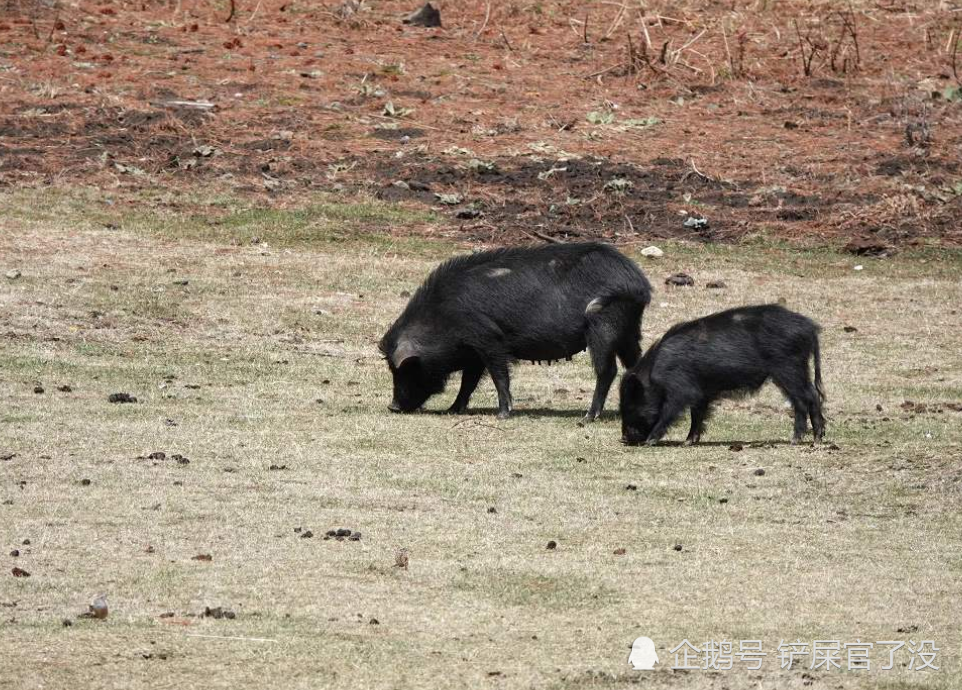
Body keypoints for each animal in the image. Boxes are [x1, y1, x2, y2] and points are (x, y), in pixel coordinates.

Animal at [378, 242, 648, 420]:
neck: (441, 318)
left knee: (607, 370)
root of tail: (640, 282)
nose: (393, 407)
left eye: (406, 368)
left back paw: (588, 417)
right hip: (630, 329)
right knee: (636, 362)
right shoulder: (474, 352)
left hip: (603, 325)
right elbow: (469, 382)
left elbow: (499, 376)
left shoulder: (489, 340)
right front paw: (452, 410)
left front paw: (502, 415)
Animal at [624, 304, 824, 444]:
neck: (656, 373)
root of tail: (810, 328)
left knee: (802, 399)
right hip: (797, 369)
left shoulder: (681, 389)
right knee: (813, 395)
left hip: (788, 368)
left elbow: (671, 411)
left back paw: (795, 440)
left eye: (634, 402)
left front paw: (651, 441)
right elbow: (697, 414)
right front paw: (688, 442)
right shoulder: (702, 393)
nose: (624, 438)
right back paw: (817, 439)